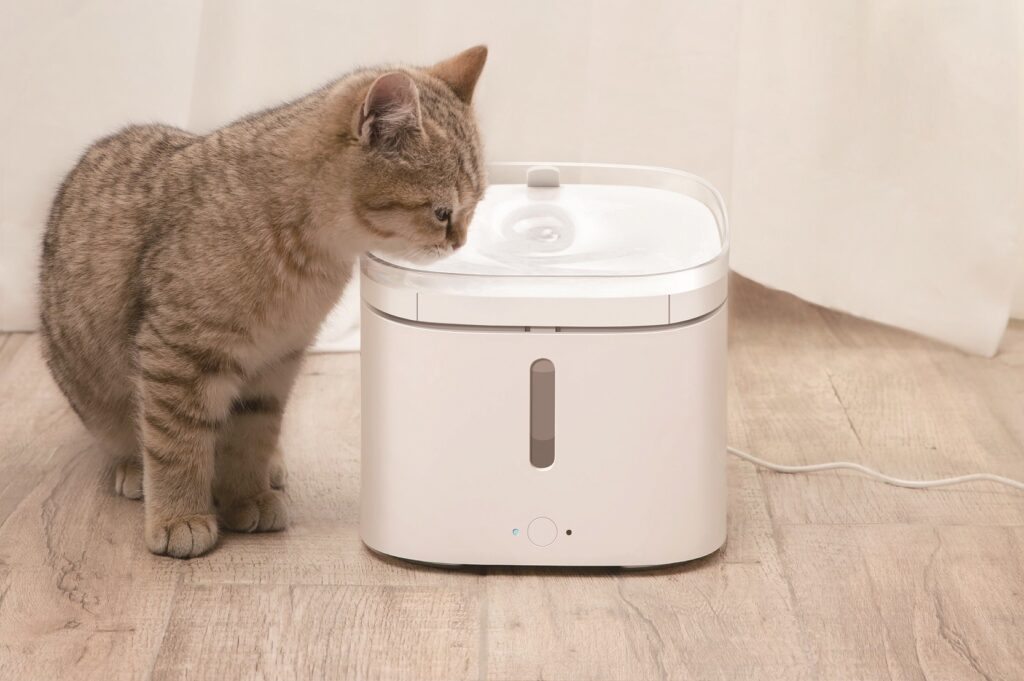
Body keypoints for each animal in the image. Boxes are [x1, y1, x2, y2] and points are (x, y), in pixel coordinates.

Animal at [38, 46, 487, 557]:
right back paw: (135, 469)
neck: (305, 255)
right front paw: (180, 515)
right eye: (442, 212)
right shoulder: (177, 356)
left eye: (473, 207)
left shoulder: (274, 363)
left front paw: (246, 495)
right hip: (91, 388)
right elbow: (177, 444)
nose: (459, 242)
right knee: (129, 433)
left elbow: (249, 439)